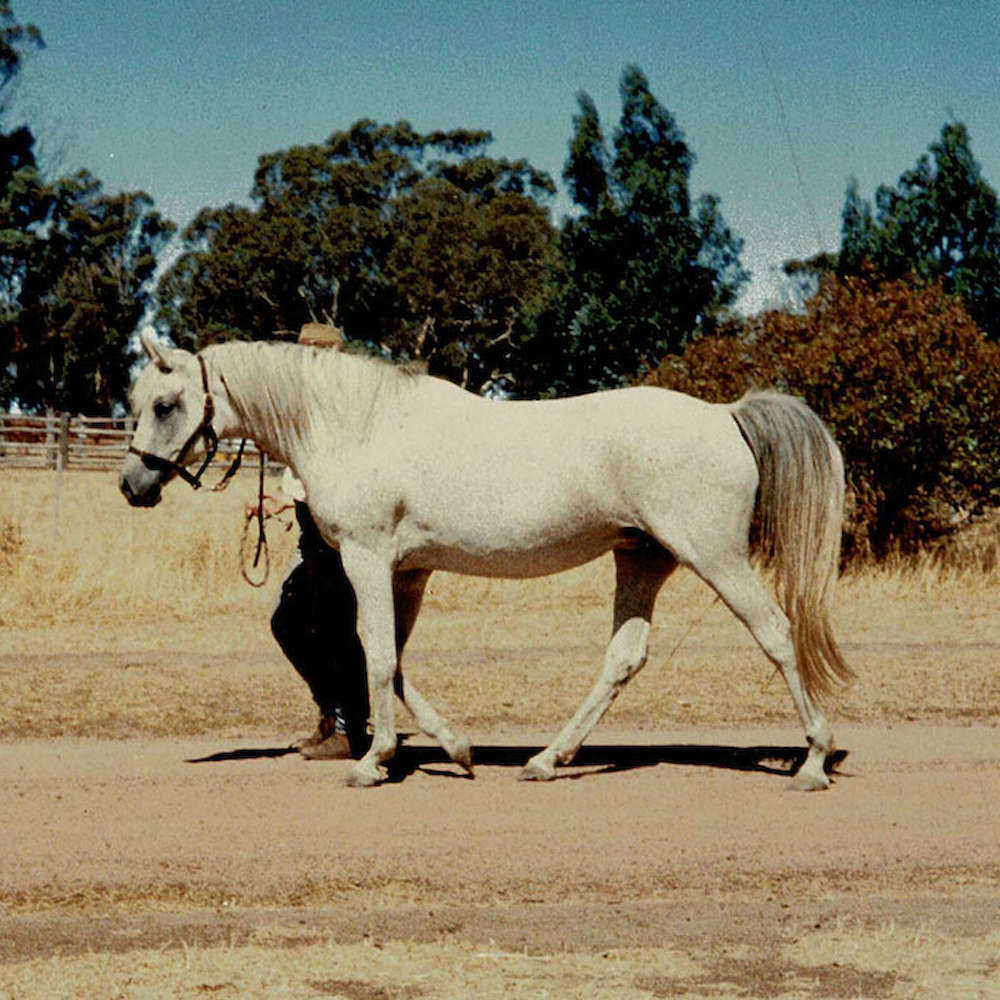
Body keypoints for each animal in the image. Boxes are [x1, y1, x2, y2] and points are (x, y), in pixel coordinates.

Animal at [120, 329, 852, 790]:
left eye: (165, 404)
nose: (133, 485)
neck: (357, 426)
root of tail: (727, 415)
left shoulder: (367, 559)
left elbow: (374, 655)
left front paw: (372, 762)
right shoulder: (408, 571)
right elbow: (389, 660)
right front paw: (456, 749)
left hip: (714, 556)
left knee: (776, 634)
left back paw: (812, 763)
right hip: (642, 559)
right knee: (624, 658)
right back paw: (548, 759)